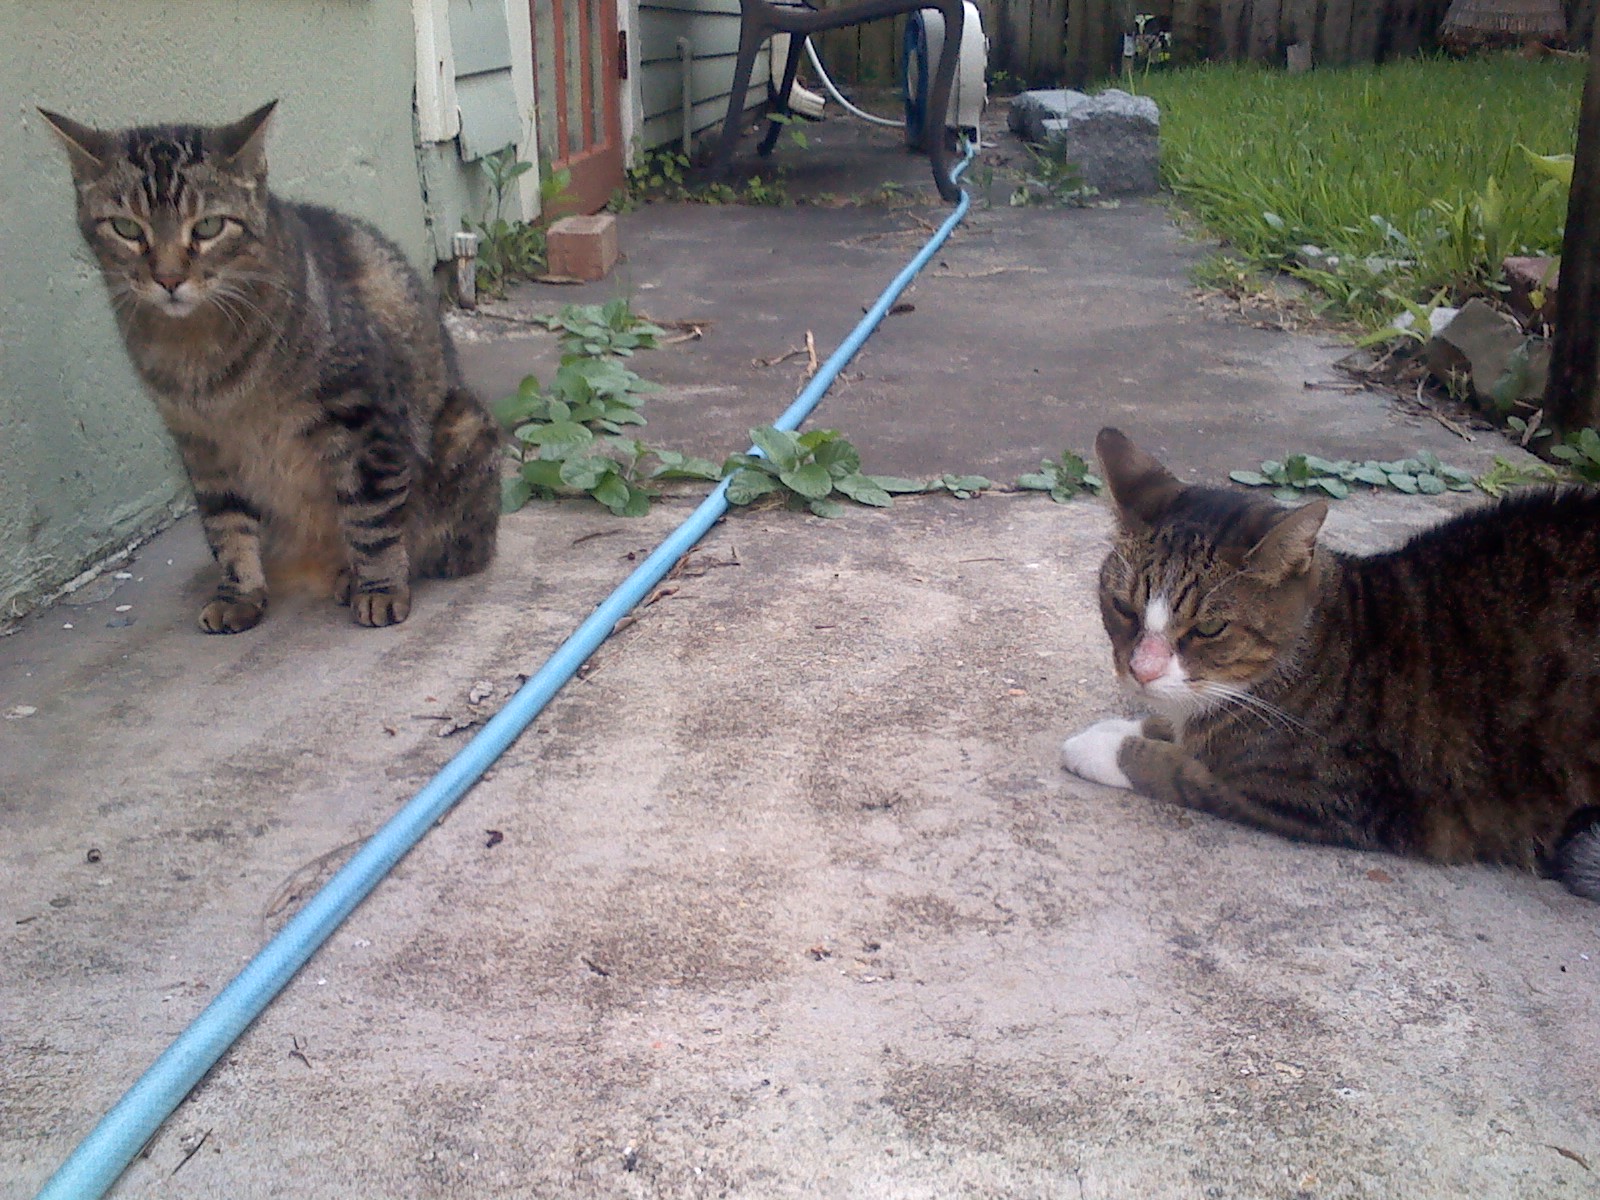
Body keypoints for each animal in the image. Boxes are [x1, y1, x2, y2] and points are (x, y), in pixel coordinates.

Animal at [42, 101, 499, 640]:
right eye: (128, 229)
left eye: (208, 227)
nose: (169, 279)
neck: (201, 356)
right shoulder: (202, 445)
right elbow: (227, 527)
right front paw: (239, 594)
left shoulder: (364, 415)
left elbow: (371, 518)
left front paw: (380, 587)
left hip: (463, 428)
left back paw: (361, 575)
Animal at [1062, 428, 1600, 908]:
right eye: (1122, 608)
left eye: (1210, 627)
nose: (1142, 670)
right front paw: (1132, 724)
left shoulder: (1320, 795)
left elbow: (1183, 770)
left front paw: (1103, 746)